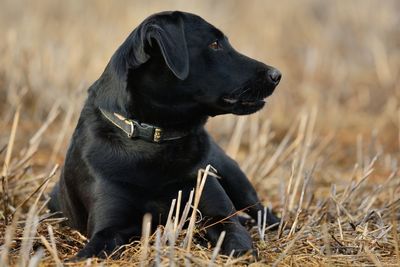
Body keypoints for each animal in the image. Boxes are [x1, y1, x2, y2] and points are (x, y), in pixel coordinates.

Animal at [48, 11, 282, 260]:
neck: (156, 140)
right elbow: (90, 252)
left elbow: (237, 238)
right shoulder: (108, 227)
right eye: (215, 44)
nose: (276, 74)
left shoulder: (221, 215)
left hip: (236, 178)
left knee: (261, 212)